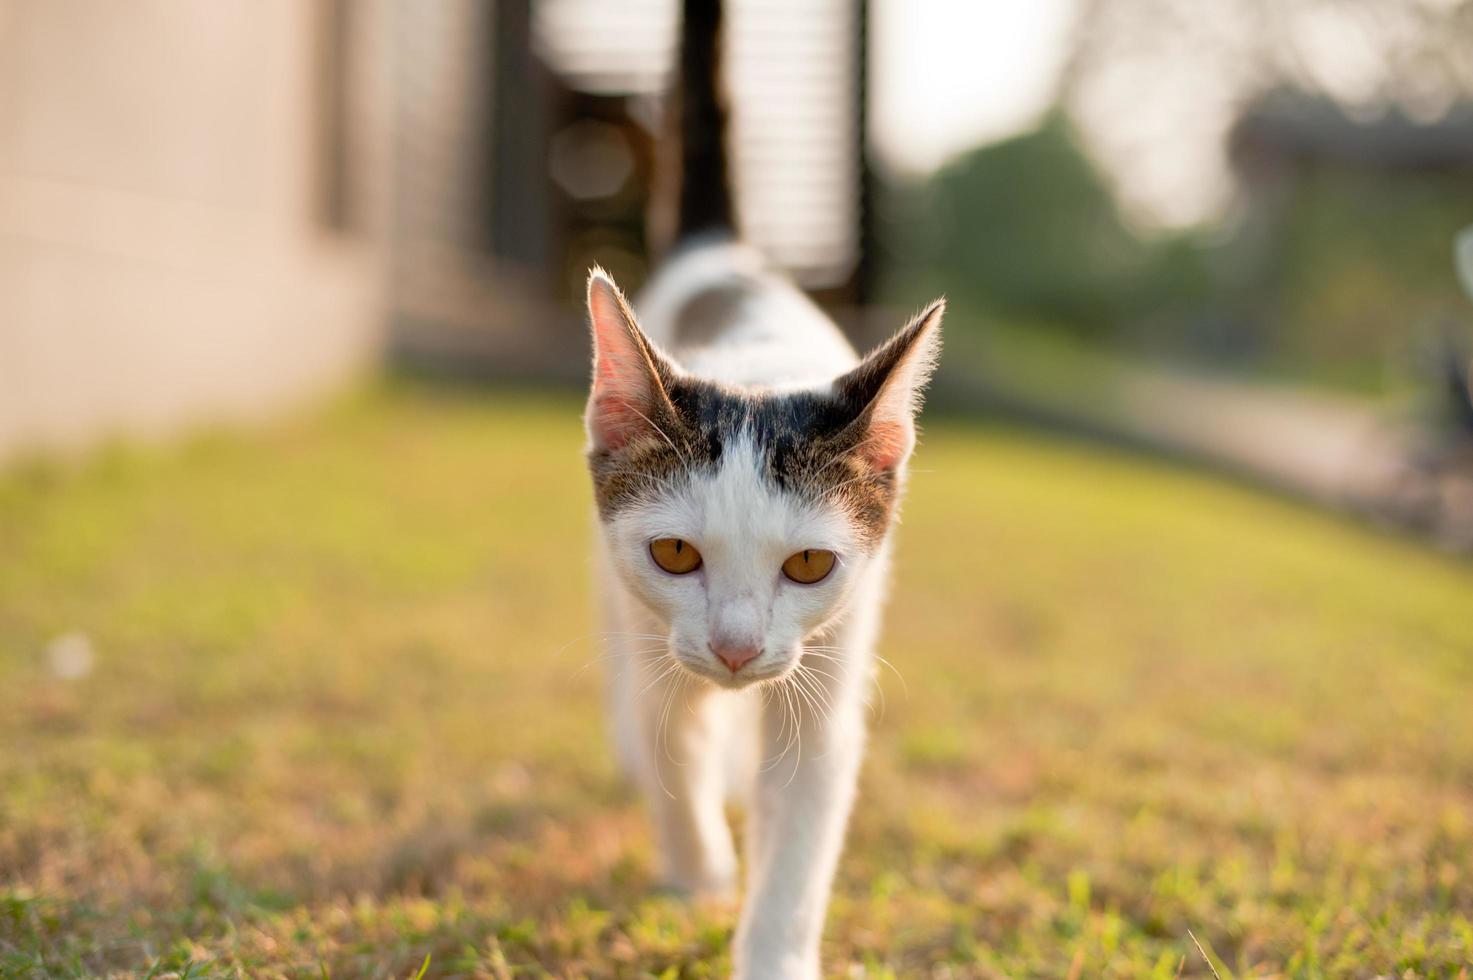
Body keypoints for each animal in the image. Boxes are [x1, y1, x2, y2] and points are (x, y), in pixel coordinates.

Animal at [583, 0, 942, 972]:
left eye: (809, 565)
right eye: (674, 552)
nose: (738, 651)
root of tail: (726, 251)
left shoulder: (837, 652)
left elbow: (804, 812)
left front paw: (771, 942)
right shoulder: (651, 626)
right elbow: (672, 744)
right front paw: (699, 878)